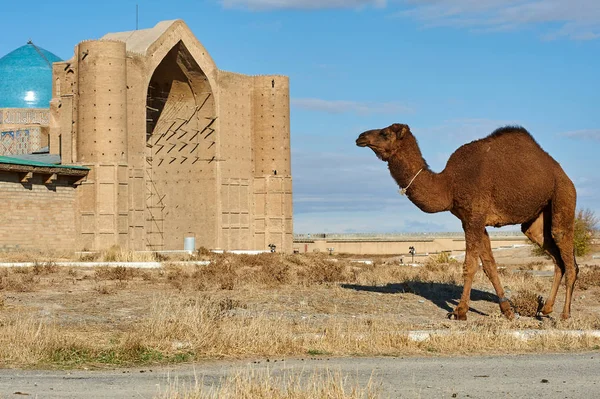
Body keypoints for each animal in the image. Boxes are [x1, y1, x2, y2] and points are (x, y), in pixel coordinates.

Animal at [356, 123, 576, 320]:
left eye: (385, 133)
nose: (361, 137)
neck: (449, 184)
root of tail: (563, 174)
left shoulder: (474, 217)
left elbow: (469, 265)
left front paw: (459, 312)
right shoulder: (471, 220)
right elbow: (490, 266)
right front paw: (507, 311)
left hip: (563, 196)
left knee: (567, 254)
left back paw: (565, 315)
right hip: (535, 222)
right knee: (556, 257)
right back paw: (546, 309)